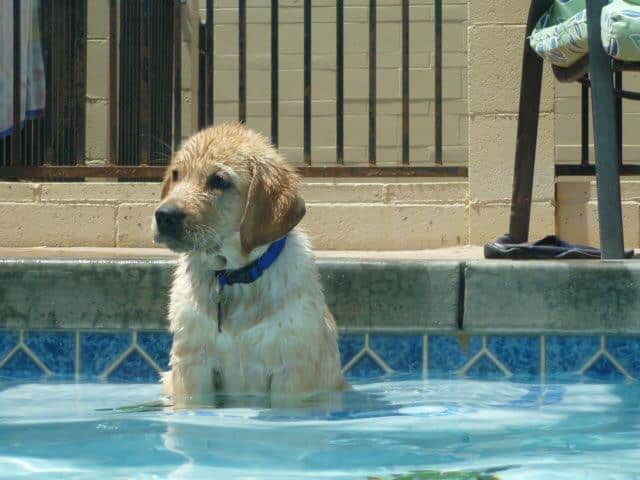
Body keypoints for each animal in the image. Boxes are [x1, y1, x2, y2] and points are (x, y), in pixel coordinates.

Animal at [152, 123, 348, 404]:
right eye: (176, 174)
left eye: (219, 181)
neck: (232, 276)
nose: (164, 215)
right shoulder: (192, 367)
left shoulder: (291, 372)